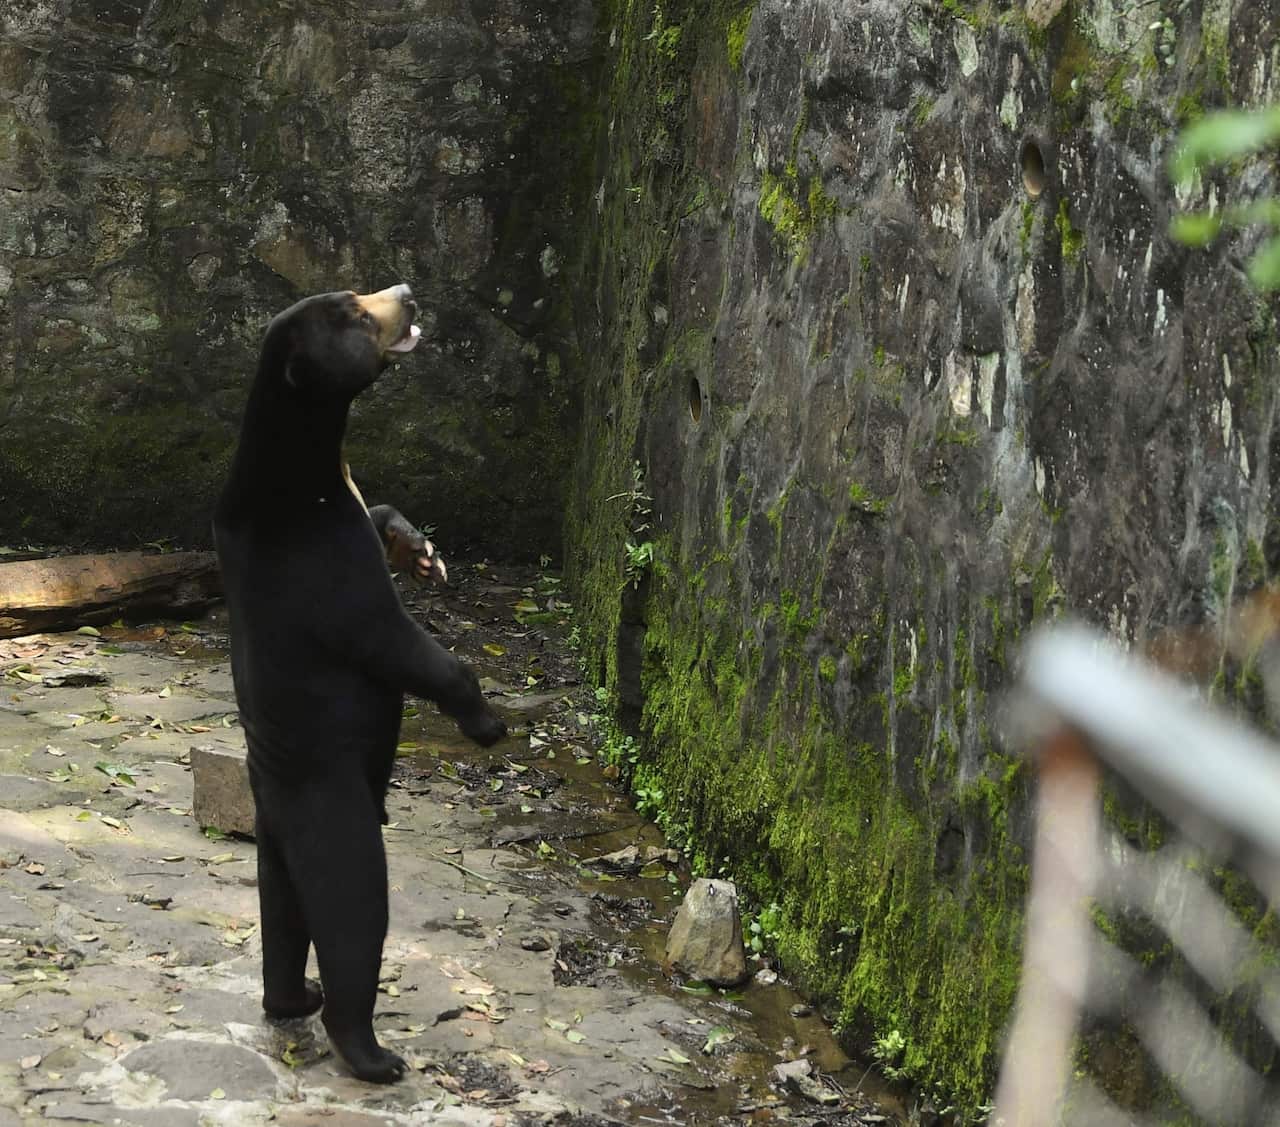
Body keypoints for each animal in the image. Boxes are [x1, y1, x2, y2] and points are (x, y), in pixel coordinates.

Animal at [213, 284, 506, 1083]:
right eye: (351, 310)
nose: (405, 292)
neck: (306, 463)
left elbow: (379, 513)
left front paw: (423, 552)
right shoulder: (319, 561)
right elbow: (392, 641)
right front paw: (486, 720)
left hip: (274, 840)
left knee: (281, 915)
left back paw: (293, 997)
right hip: (334, 811)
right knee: (353, 915)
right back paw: (371, 1052)